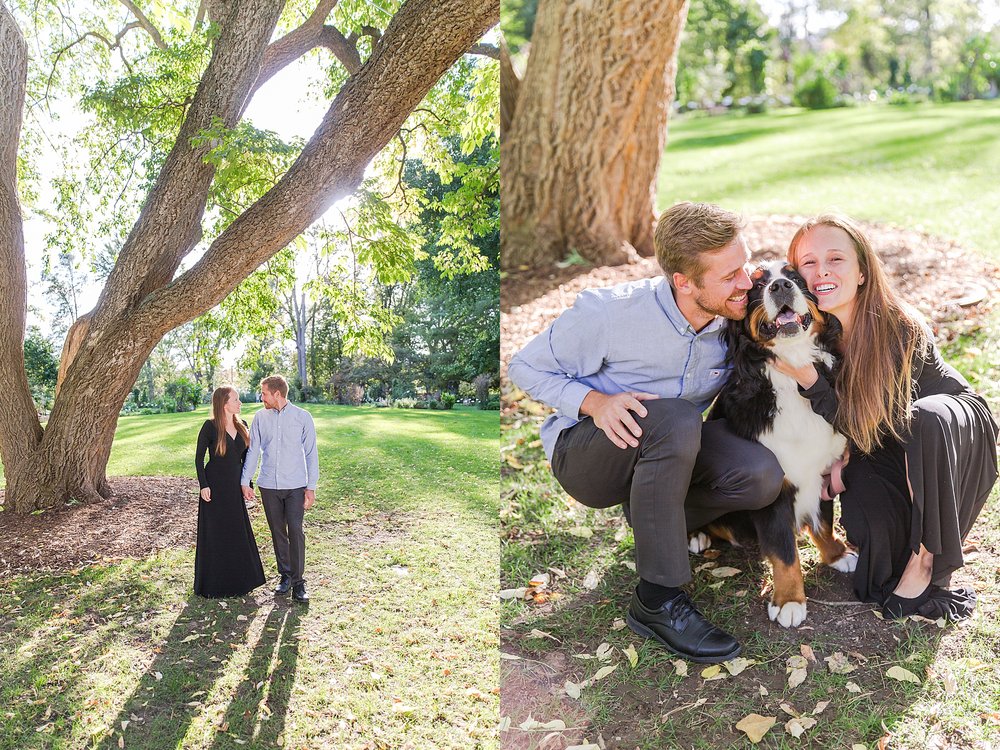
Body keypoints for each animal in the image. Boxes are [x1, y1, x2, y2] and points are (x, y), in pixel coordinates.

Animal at [696, 260, 860, 628]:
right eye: (755, 286)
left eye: (796, 277)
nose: (781, 286)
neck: (791, 374)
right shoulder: (776, 489)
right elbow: (784, 553)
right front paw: (789, 601)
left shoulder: (822, 469)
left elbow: (823, 522)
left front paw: (836, 554)